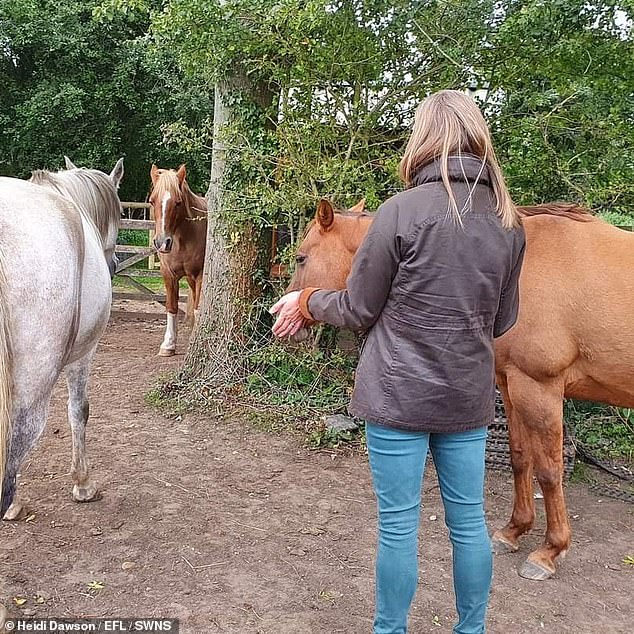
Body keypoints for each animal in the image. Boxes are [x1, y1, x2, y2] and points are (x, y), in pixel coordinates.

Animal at [149, 163, 206, 356]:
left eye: (178, 202)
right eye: (152, 201)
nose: (161, 242)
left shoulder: (200, 274)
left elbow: (198, 308)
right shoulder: (168, 274)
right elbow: (171, 307)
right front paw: (168, 345)